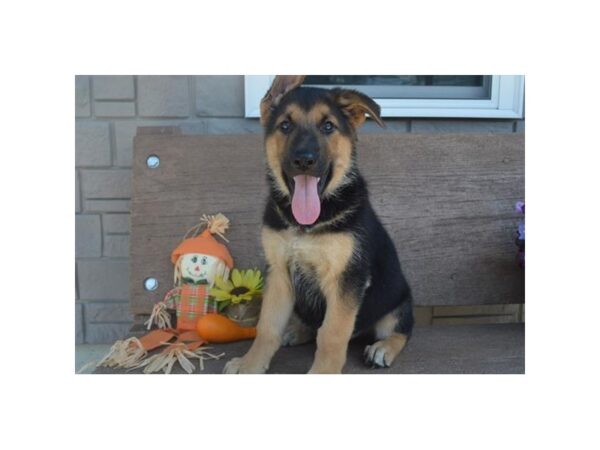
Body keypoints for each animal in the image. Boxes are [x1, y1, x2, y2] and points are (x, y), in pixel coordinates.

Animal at [223, 75, 414, 374]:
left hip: (397, 302)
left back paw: (383, 347)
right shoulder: (279, 272)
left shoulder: (345, 279)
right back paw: (297, 331)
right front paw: (249, 364)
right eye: (285, 125)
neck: (307, 225)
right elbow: (267, 327)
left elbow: (332, 333)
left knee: (401, 329)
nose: (304, 160)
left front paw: (322, 372)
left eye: (328, 126)